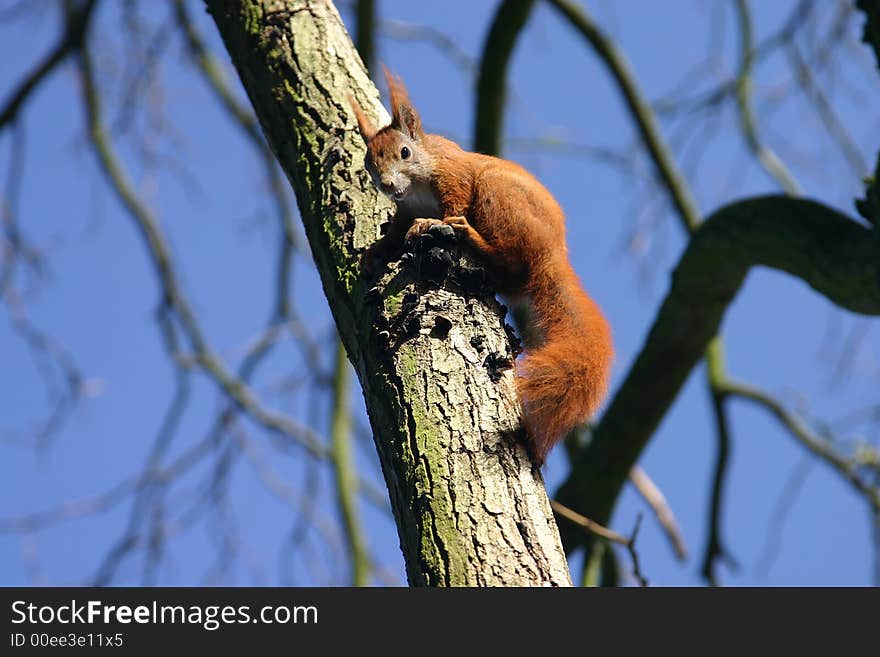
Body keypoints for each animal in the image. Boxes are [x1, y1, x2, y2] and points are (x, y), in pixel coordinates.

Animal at [350, 69, 612, 464]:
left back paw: (470, 235)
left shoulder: (454, 178)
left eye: (404, 152)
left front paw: (428, 225)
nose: (388, 184)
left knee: (502, 248)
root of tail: (552, 254)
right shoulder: (404, 209)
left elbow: (450, 205)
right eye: (369, 162)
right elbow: (394, 234)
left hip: (495, 191)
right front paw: (374, 253)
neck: (418, 186)